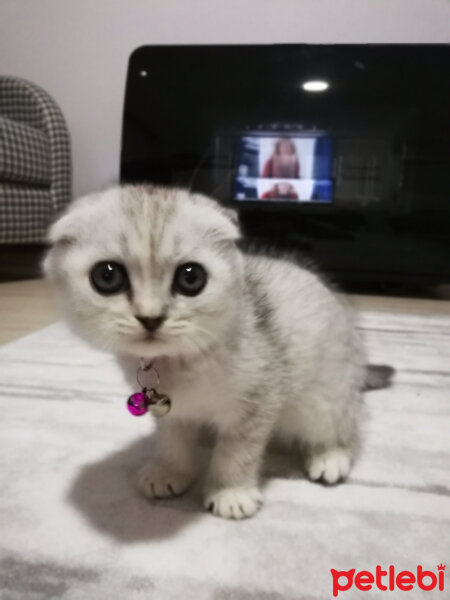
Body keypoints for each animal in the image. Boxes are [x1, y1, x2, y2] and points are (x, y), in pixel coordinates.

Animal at [44, 186, 386, 520]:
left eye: (191, 277)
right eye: (107, 276)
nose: (151, 317)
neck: (180, 362)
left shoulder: (258, 400)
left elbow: (236, 452)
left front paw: (231, 493)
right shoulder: (170, 409)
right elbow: (172, 441)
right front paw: (169, 471)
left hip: (323, 399)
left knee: (344, 426)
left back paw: (330, 456)